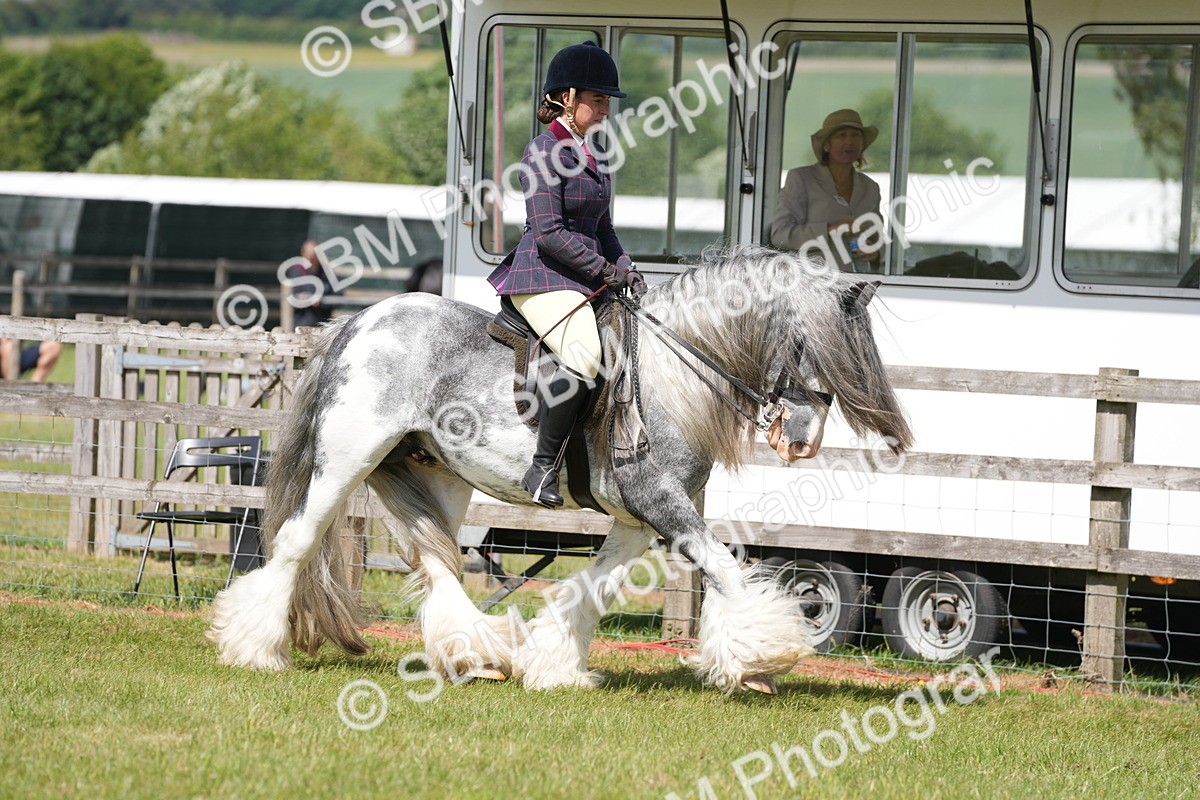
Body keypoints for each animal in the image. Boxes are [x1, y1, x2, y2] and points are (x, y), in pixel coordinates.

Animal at [209, 244, 912, 694]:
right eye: (809, 344)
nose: (804, 442)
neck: (672, 372)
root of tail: (361, 320)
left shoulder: (638, 519)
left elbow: (590, 590)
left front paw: (557, 668)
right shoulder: (662, 504)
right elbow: (725, 572)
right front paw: (762, 660)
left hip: (435, 474)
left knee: (437, 561)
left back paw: (477, 657)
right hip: (346, 459)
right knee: (296, 543)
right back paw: (253, 649)